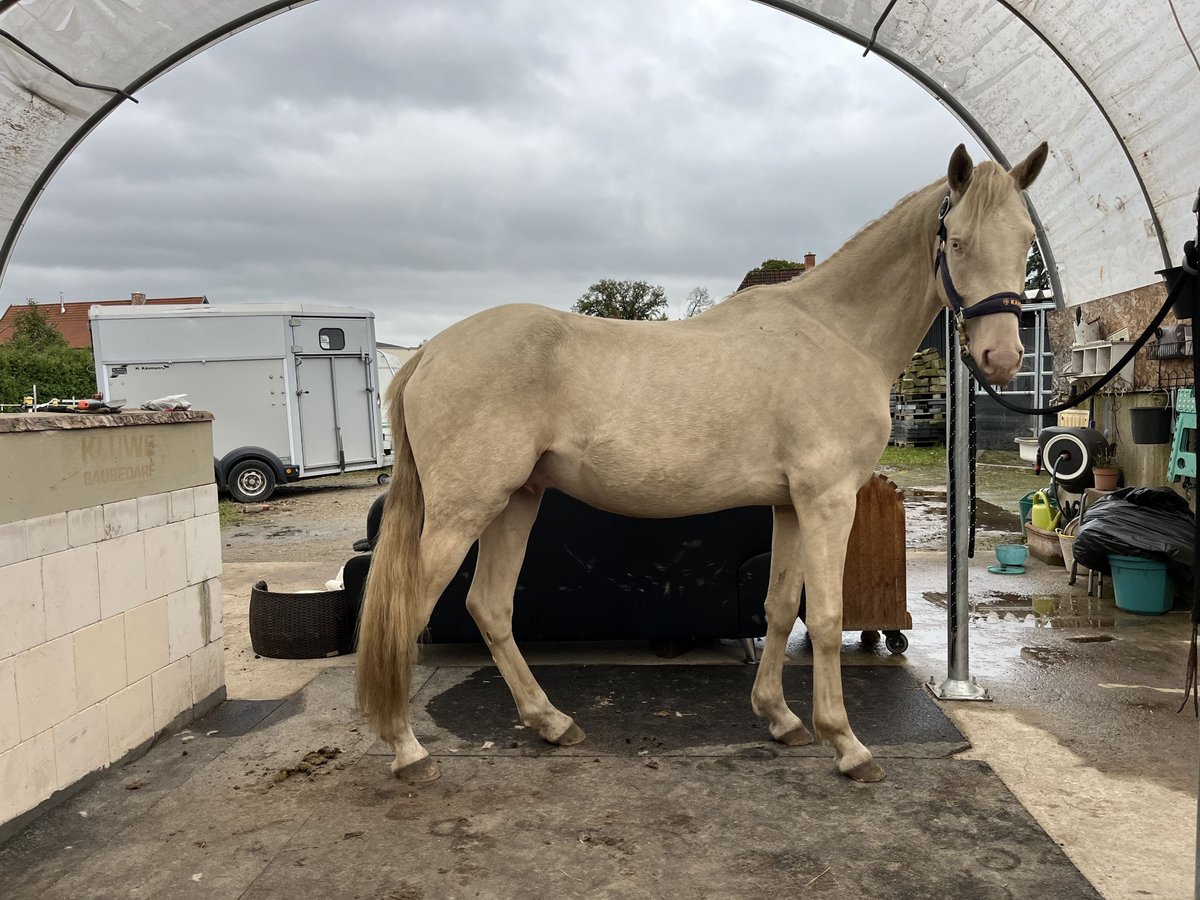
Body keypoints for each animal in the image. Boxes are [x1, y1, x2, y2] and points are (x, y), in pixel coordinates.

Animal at [357, 141, 1051, 782]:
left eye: (1024, 241)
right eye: (956, 241)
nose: (1000, 359)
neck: (836, 333)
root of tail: (431, 350)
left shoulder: (789, 506)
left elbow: (778, 606)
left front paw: (781, 719)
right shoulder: (827, 501)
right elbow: (826, 618)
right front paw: (848, 745)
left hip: (516, 501)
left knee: (489, 607)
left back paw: (550, 723)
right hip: (466, 509)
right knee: (407, 611)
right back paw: (408, 750)